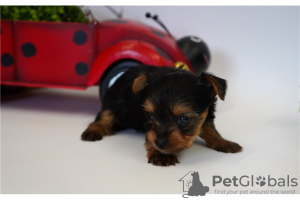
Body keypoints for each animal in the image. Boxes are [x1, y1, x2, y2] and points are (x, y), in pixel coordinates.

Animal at [81, 65, 243, 166]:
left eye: (184, 119)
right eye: (151, 116)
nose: (159, 143)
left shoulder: (206, 115)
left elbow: (211, 130)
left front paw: (224, 143)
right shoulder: (148, 126)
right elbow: (150, 137)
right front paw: (161, 155)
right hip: (114, 103)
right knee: (104, 117)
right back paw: (93, 131)